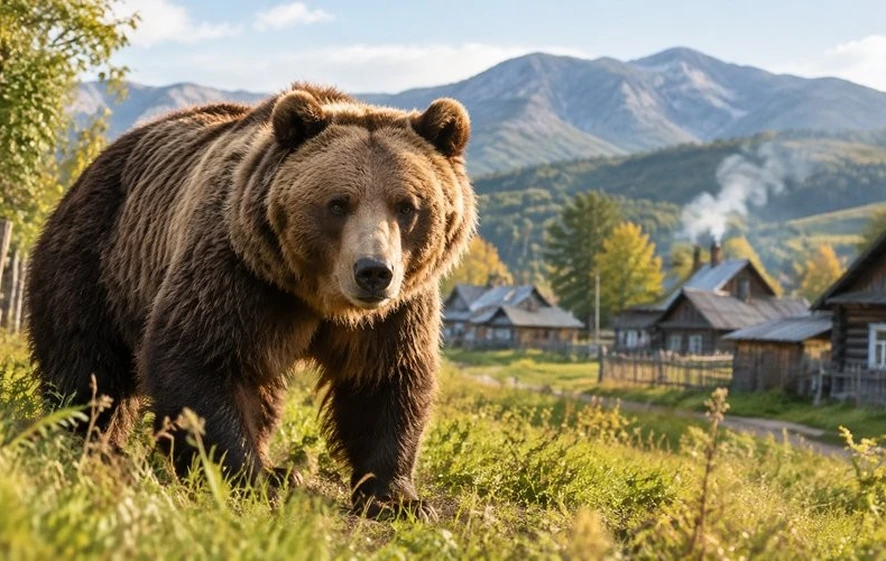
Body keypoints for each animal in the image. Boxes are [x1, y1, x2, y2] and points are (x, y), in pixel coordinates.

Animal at [25, 84, 476, 519]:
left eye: (407, 206)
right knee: (88, 359)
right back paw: (90, 439)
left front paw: (399, 499)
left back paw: (281, 469)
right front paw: (245, 477)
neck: (317, 296)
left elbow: (385, 379)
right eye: (337, 203)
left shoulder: (396, 310)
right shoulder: (240, 271)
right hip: (100, 254)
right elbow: (202, 358)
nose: (373, 271)